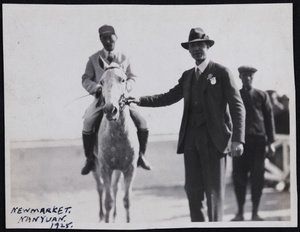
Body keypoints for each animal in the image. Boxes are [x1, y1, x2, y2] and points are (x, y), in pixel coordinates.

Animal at [92, 59, 138, 223]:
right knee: (100, 188)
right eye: (101, 82)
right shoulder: (105, 169)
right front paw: (106, 218)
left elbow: (127, 200)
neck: (118, 136)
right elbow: (108, 201)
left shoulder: (130, 169)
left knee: (114, 188)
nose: (110, 109)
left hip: (118, 170)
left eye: (123, 80)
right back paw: (101, 216)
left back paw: (114, 216)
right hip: (95, 166)